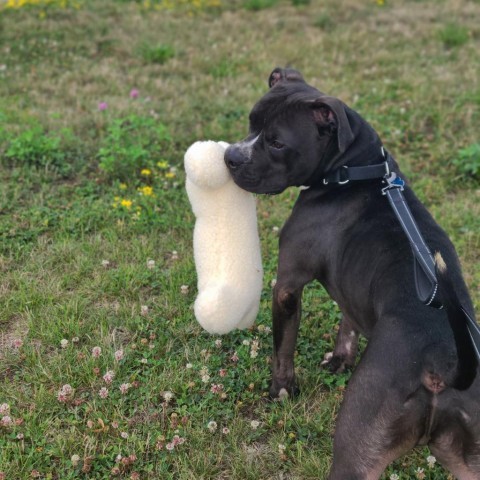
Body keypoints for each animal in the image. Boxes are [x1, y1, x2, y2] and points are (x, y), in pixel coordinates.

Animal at [225, 67, 480, 480]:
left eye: (277, 143)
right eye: (251, 122)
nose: (230, 156)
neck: (354, 168)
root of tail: (442, 366)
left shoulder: (287, 285)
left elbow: (283, 346)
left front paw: (281, 390)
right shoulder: (352, 289)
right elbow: (348, 321)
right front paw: (340, 360)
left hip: (355, 450)